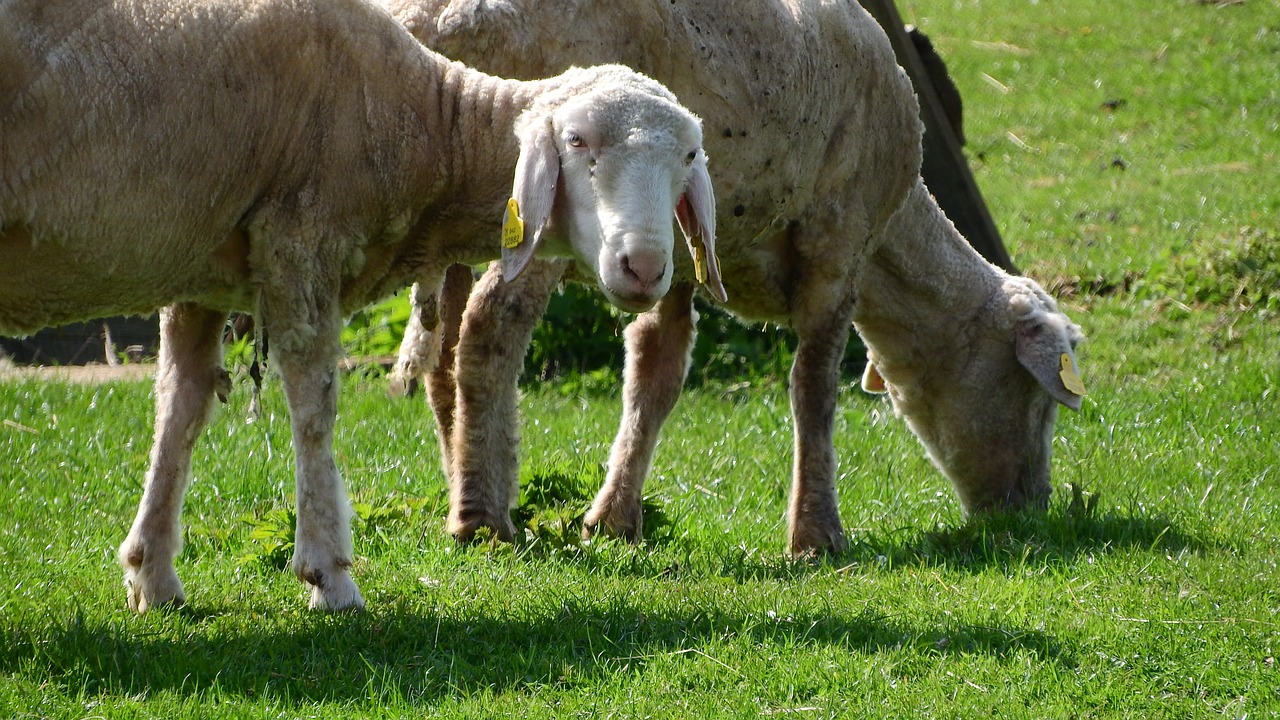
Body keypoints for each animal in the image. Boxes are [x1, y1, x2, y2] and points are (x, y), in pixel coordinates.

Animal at [0, 0, 721, 607]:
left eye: (690, 155)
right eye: (576, 142)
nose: (644, 267)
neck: (428, 123)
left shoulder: (201, 268)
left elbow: (181, 407)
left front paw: (152, 575)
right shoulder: (301, 241)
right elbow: (314, 405)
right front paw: (330, 576)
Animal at [384, 0, 1085, 550]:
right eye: (1037, 397)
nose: (1030, 509)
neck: (890, 239)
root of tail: (428, 20)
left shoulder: (680, 259)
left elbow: (656, 374)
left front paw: (615, 518)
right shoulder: (839, 244)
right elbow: (814, 389)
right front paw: (816, 535)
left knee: (442, 353)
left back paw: (463, 482)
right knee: (487, 332)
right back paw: (483, 518)